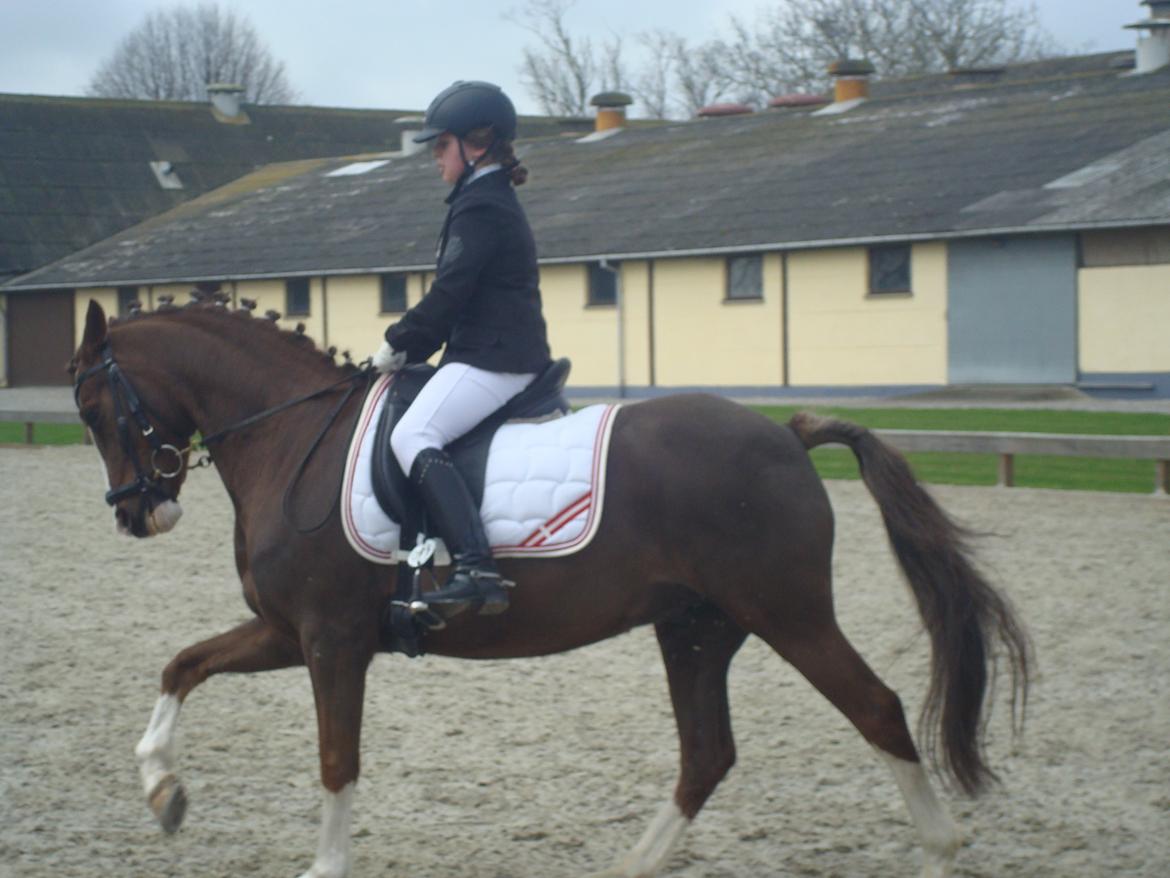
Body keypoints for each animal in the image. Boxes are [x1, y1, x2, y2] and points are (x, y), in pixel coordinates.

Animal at [69, 298, 1030, 878]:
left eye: (92, 409)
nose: (136, 514)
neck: (291, 438)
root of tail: (786, 434)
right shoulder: (286, 632)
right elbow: (181, 665)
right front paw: (162, 790)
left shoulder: (331, 641)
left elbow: (337, 762)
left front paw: (321, 863)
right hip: (697, 627)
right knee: (706, 754)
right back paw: (634, 865)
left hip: (787, 614)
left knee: (875, 710)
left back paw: (941, 845)